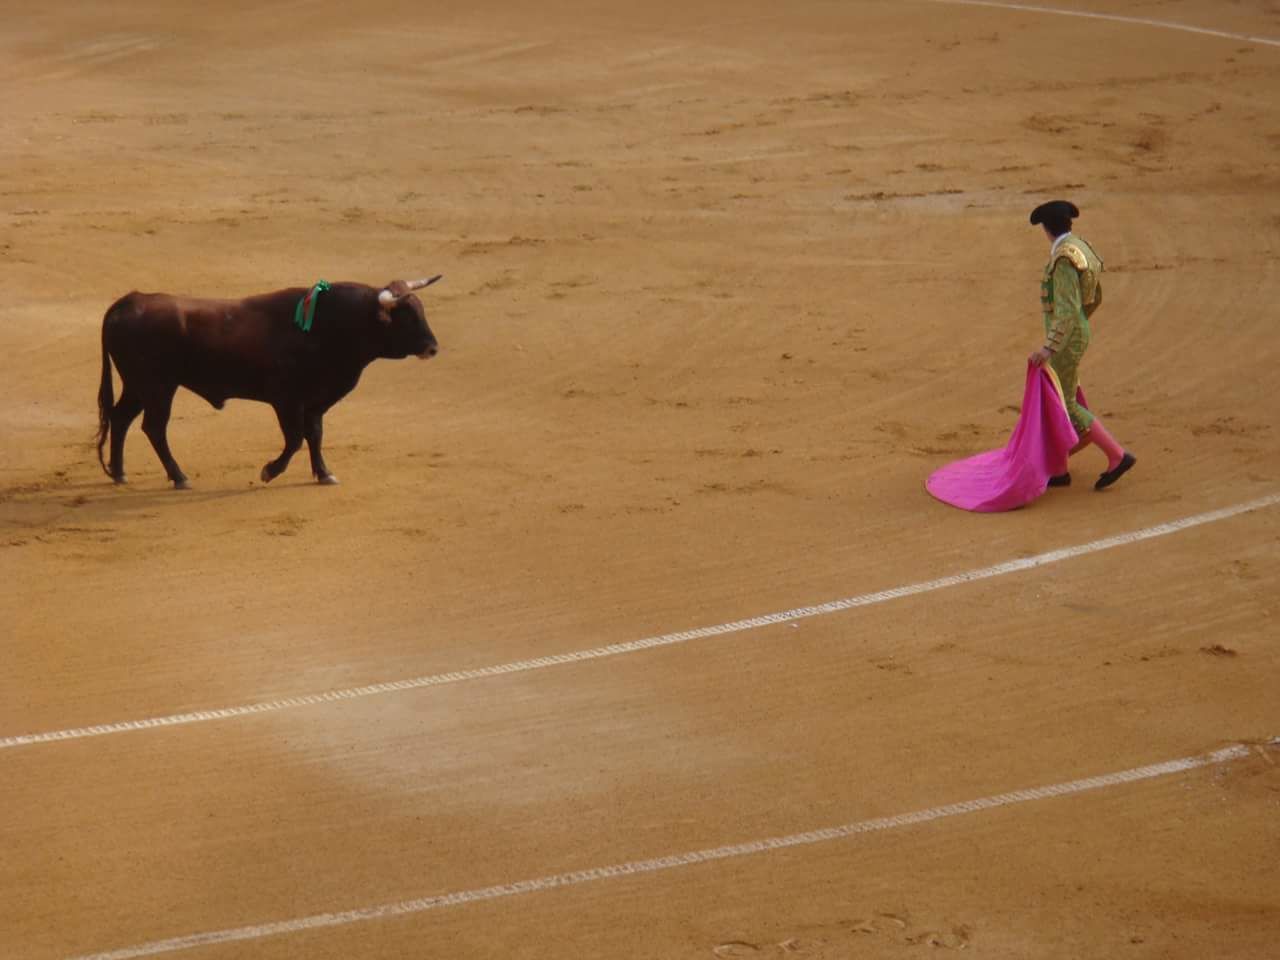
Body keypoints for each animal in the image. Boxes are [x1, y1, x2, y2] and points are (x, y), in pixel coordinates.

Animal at [94, 276, 440, 488]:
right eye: (406, 317)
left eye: (421, 311)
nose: (432, 347)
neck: (329, 325)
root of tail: (127, 302)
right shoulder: (286, 400)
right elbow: (296, 439)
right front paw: (269, 471)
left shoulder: (316, 401)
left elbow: (315, 434)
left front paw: (324, 473)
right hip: (158, 387)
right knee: (153, 427)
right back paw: (179, 477)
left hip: (138, 385)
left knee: (120, 418)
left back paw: (120, 473)